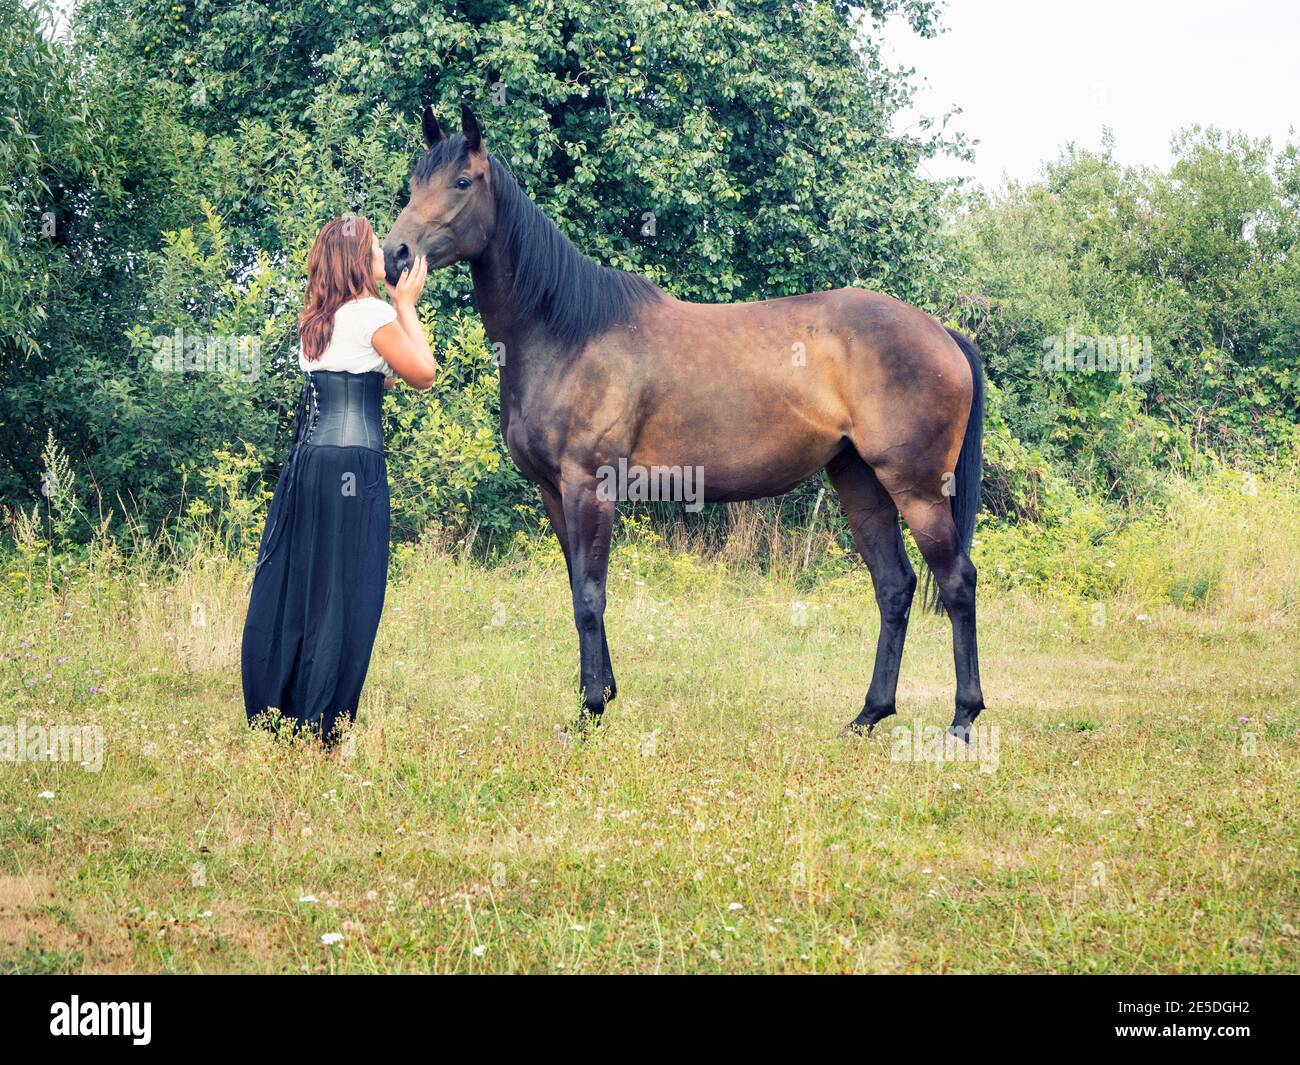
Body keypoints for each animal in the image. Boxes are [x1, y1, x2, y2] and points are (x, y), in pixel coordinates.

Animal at [379, 108, 987, 743]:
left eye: (462, 182)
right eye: (417, 180)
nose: (394, 255)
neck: (565, 331)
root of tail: (943, 334)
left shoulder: (588, 487)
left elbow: (590, 596)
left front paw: (591, 711)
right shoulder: (553, 490)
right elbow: (577, 589)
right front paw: (599, 695)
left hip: (916, 487)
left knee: (957, 582)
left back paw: (961, 719)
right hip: (860, 481)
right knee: (894, 587)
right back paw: (869, 715)